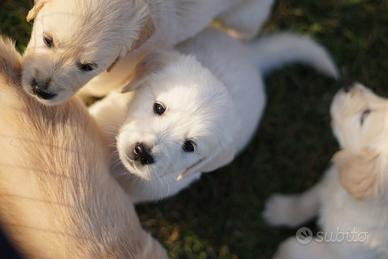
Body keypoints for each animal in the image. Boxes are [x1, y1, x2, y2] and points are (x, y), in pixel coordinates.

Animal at [22, 0, 274, 105]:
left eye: (87, 67)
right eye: (48, 40)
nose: (41, 90)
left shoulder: (116, 72)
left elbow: (93, 89)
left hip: (243, 18)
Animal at [264, 83, 388, 259]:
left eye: (365, 115)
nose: (349, 86)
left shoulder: (339, 252)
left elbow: (291, 247)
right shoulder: (332, 181)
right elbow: (308, 200)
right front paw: (278, 210)